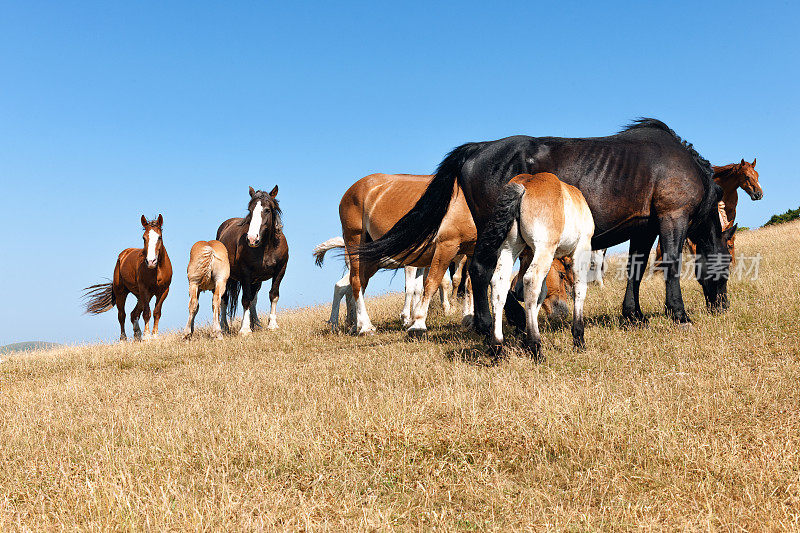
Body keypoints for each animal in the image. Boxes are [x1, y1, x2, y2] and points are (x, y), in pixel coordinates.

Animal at [217, 186, 290, 336]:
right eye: (250, 210)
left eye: (267, 210)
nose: (251, 239)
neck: (266, 246)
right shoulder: (246, 273)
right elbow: (245, 299)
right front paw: (245, 329)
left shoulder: (281, 270)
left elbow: (273, 295)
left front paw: (272, 325)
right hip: (228, 278)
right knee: (224, 299)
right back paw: (224, 327)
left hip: (256, 280)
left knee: (253, 300)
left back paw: (256, 323)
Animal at [332, 172, 472, 334]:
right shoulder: (429, 257)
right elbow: (418, 286)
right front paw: (410, 319)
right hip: (355, 241)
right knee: (353, 283)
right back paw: (361, 326)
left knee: (351, 285)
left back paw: (353, 324)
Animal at [360, 119, 736, 340]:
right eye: (728, 265)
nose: (723, 306)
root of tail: (477, 149)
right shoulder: (673, 217)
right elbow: (671, 264)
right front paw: (679, 314)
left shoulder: (644, 228)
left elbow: (636, 270)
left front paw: (634, 316)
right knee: (481, 271)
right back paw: (490, 325)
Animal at [482, 172, 592, 360]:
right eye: (562, 274)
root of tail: (525, 185)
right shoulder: (581, 248)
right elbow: (579, 289)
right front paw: (579, 340)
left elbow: (541, 294)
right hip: (544, 248)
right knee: (531, 280)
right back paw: (536, 346)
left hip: (509, 248)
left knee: (499, 283)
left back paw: (497, 347)